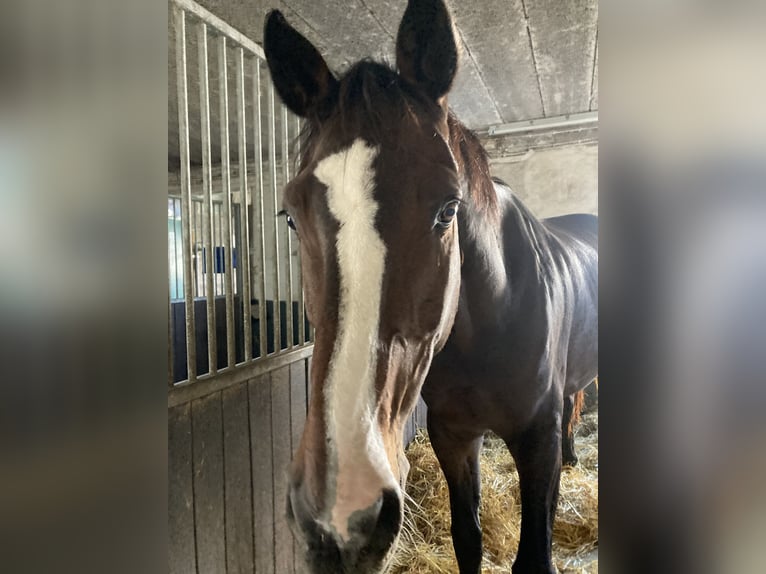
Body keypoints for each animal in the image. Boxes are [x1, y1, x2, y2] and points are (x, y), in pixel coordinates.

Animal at [264, 2, 600, 572]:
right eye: (291, 215)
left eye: (448, 208)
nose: (340, 515)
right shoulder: (453, 435)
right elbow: (468, 538)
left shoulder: (537, 438)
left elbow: (534, 553)